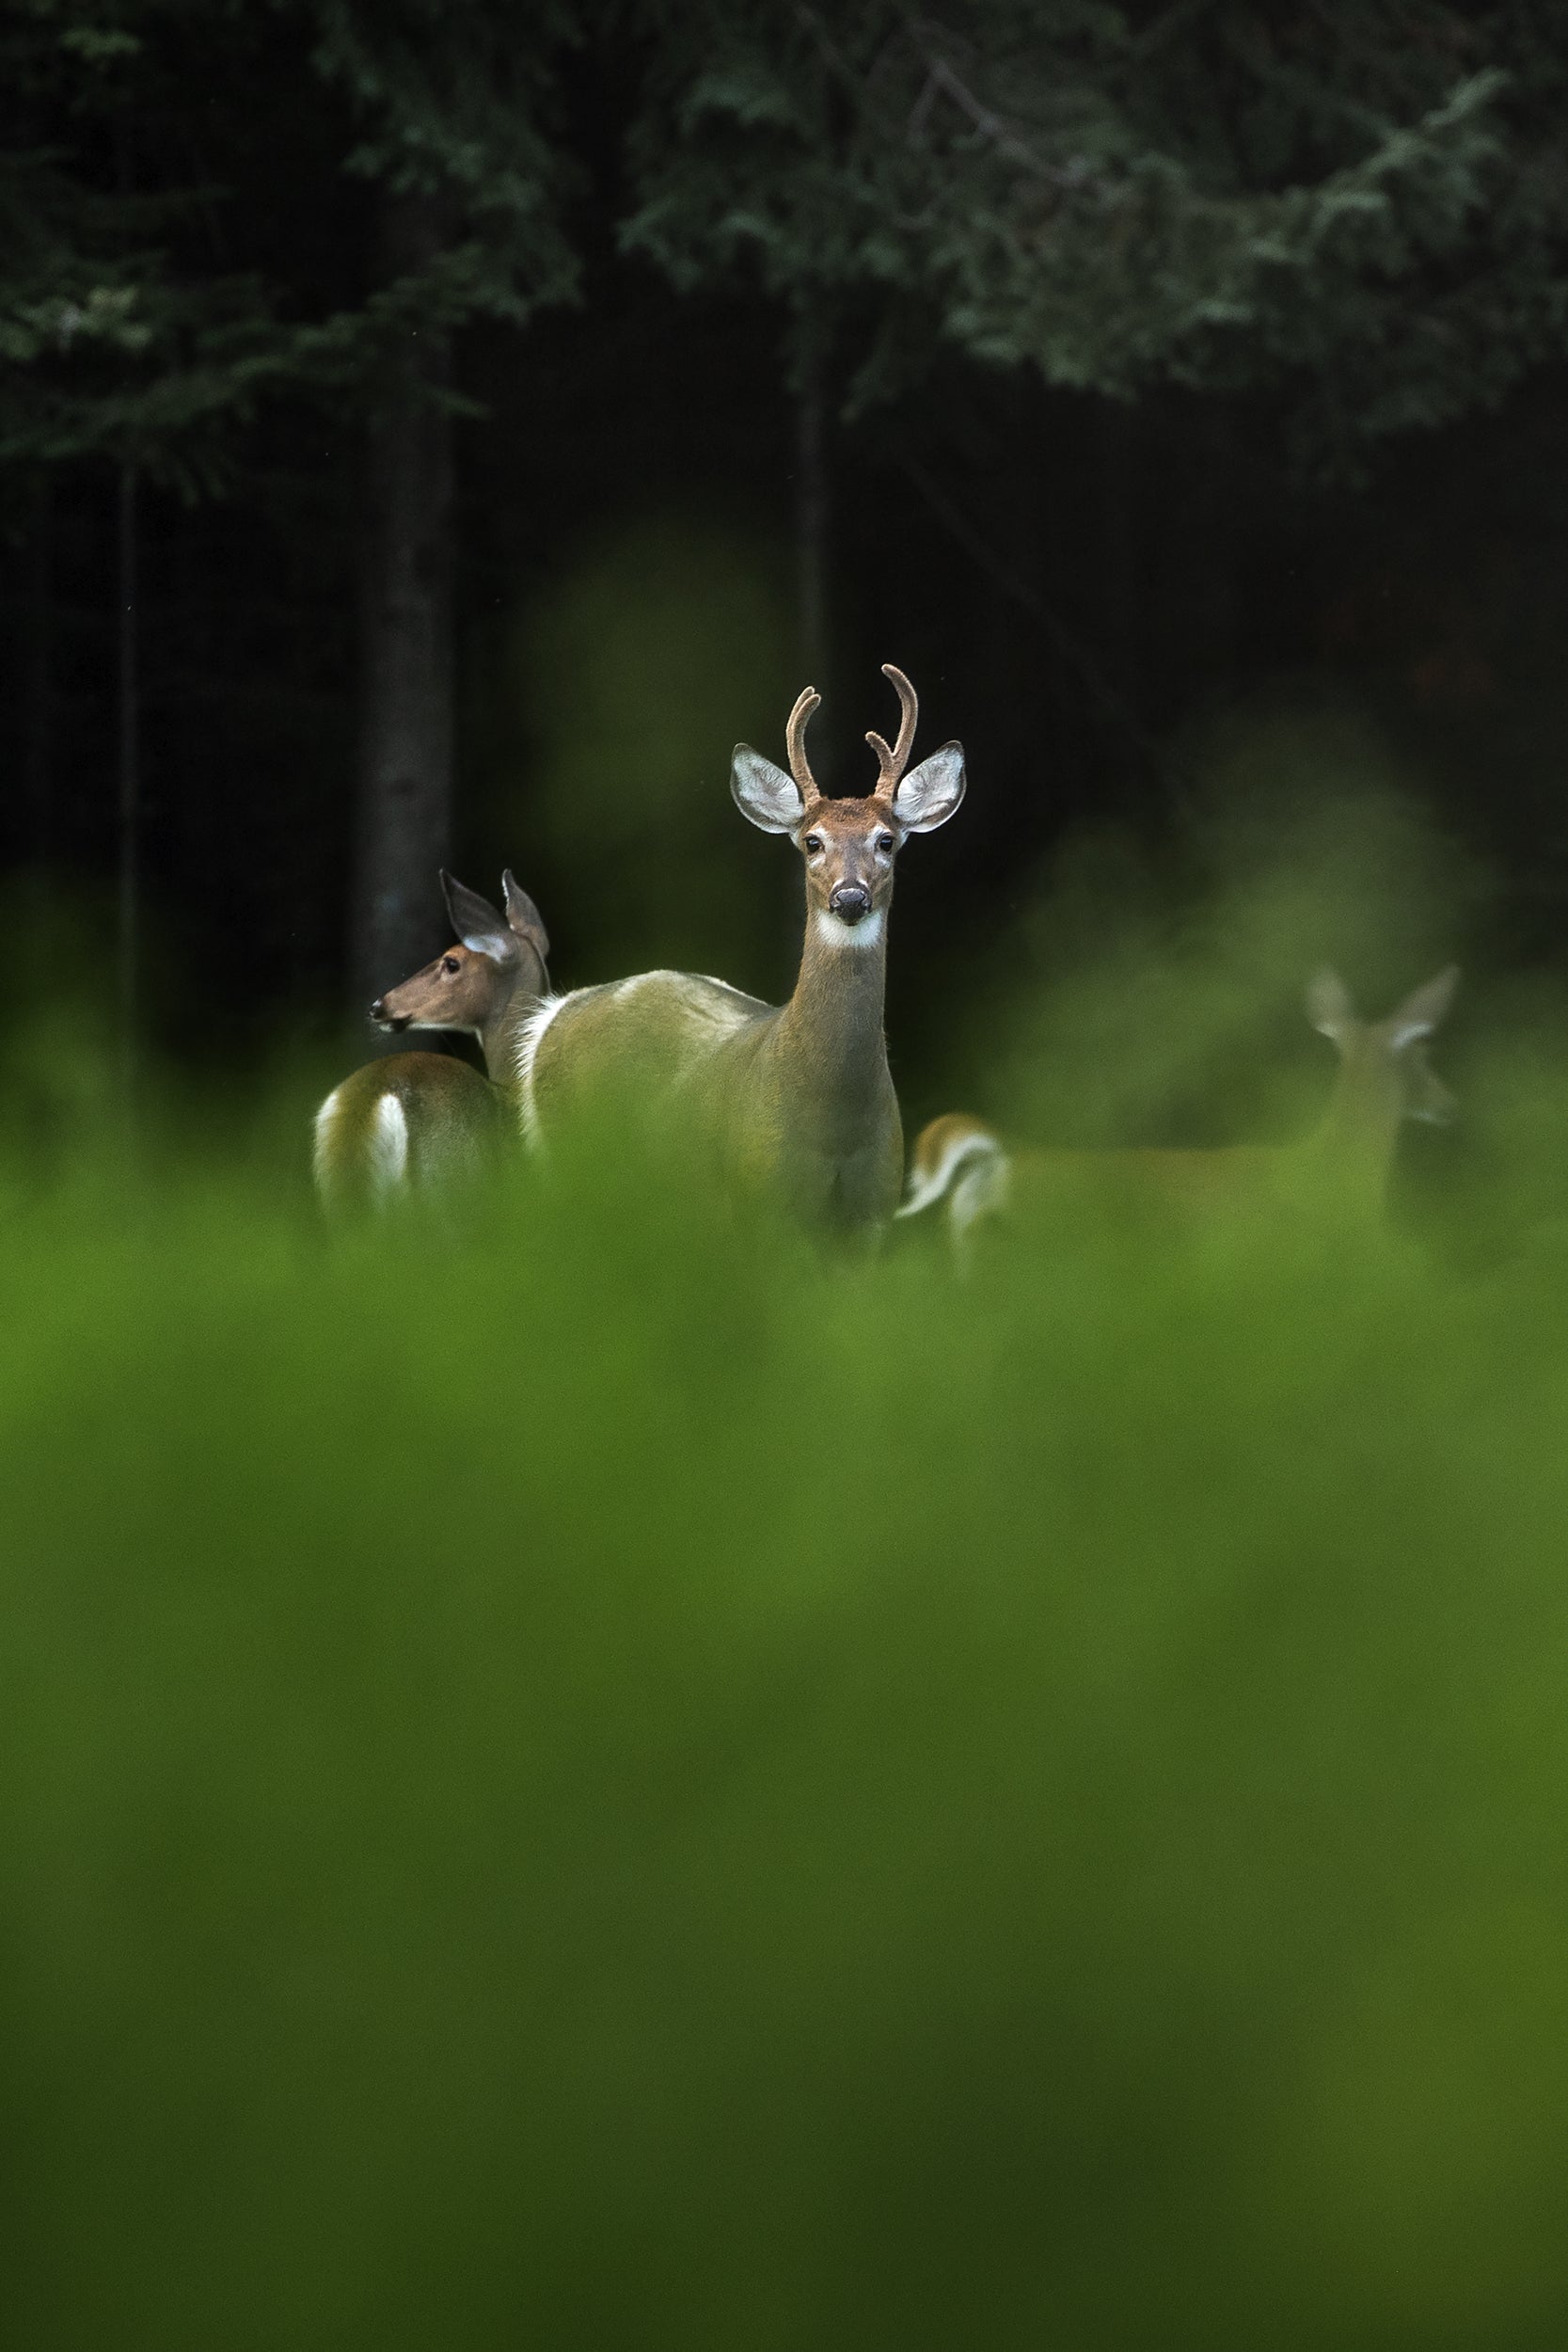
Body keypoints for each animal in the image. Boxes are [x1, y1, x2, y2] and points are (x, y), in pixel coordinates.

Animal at [516, 665, 966, 1236]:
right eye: (812, 841)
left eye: (886, 840)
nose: (850, 897)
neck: (834, 1122)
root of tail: (554, 1014)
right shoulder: (761, 1197)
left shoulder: (873, 1211)